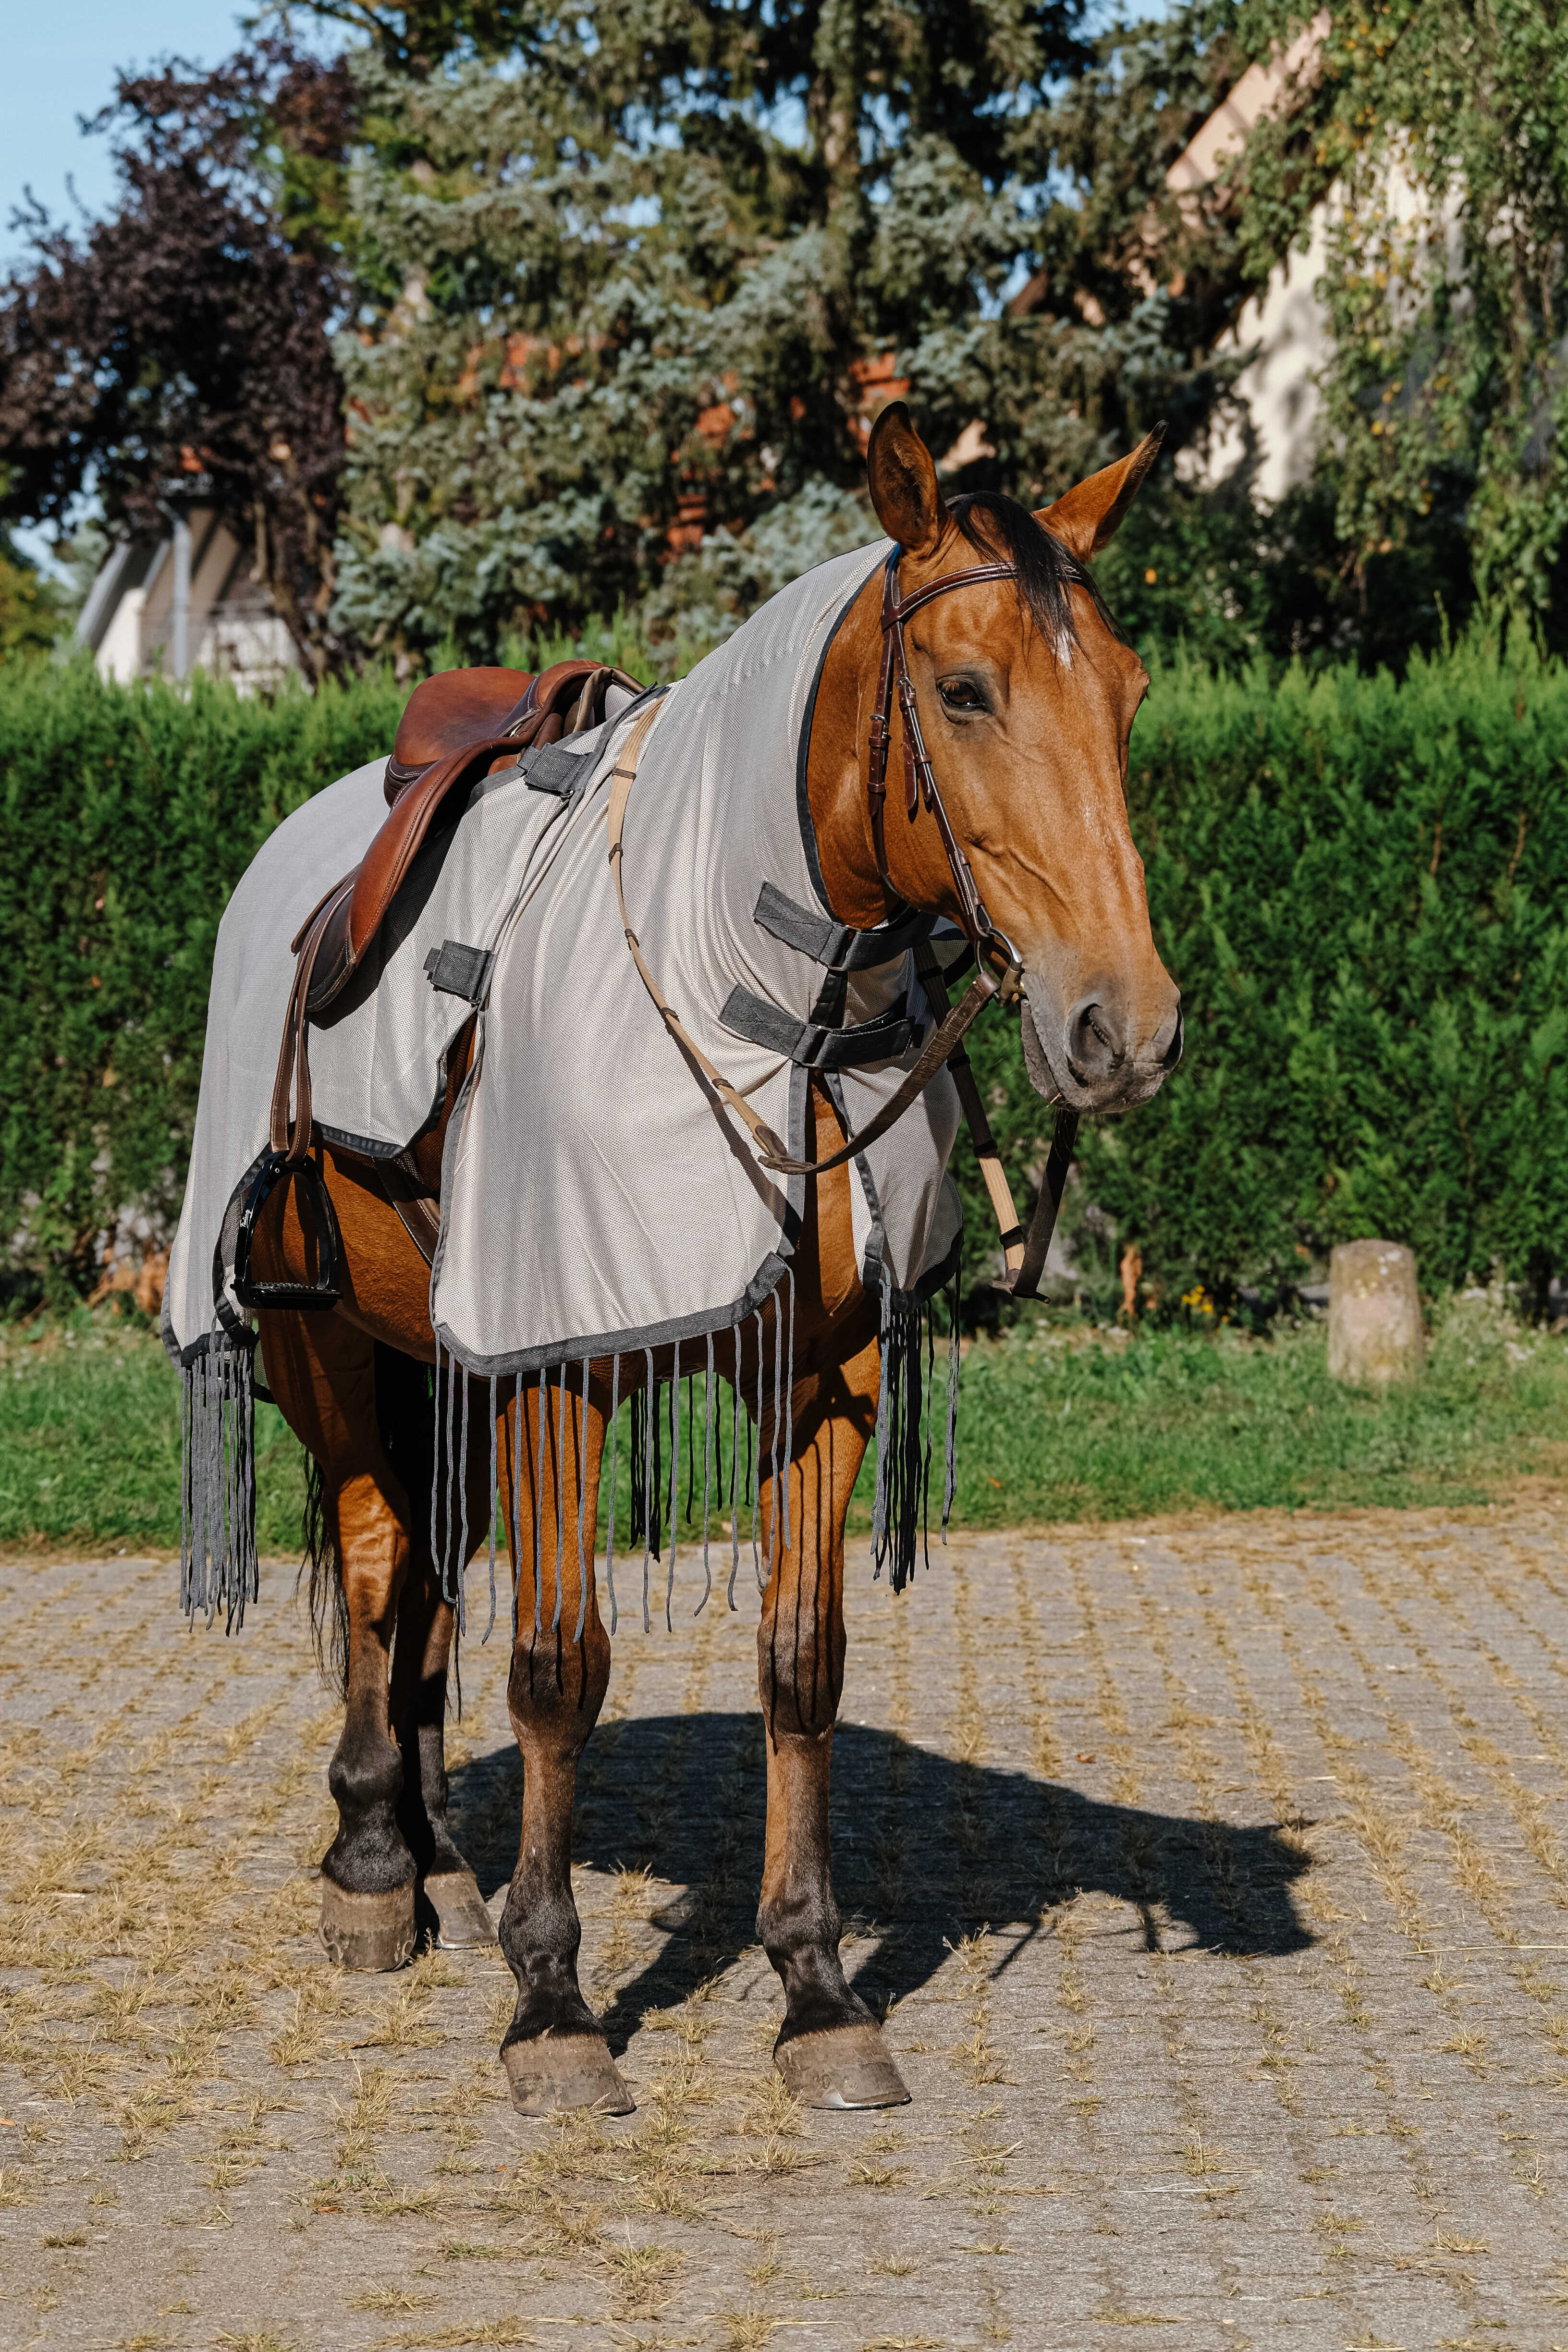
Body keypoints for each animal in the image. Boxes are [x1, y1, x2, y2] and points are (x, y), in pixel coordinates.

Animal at [241, 404, 1181, 2116]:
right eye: (964, 690)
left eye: (1128, 693)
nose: (1123, 1028)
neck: (755, 998)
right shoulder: (556, 1368)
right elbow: (560, 1667)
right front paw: (554, 2006)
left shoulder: (816, 1380)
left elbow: (799, 1666)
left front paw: (814, 1988)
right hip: (325, 1343)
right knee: (374, 1558)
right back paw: (373, 1871)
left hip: (431, 1362)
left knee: (423, 1579)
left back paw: (438, 1859)